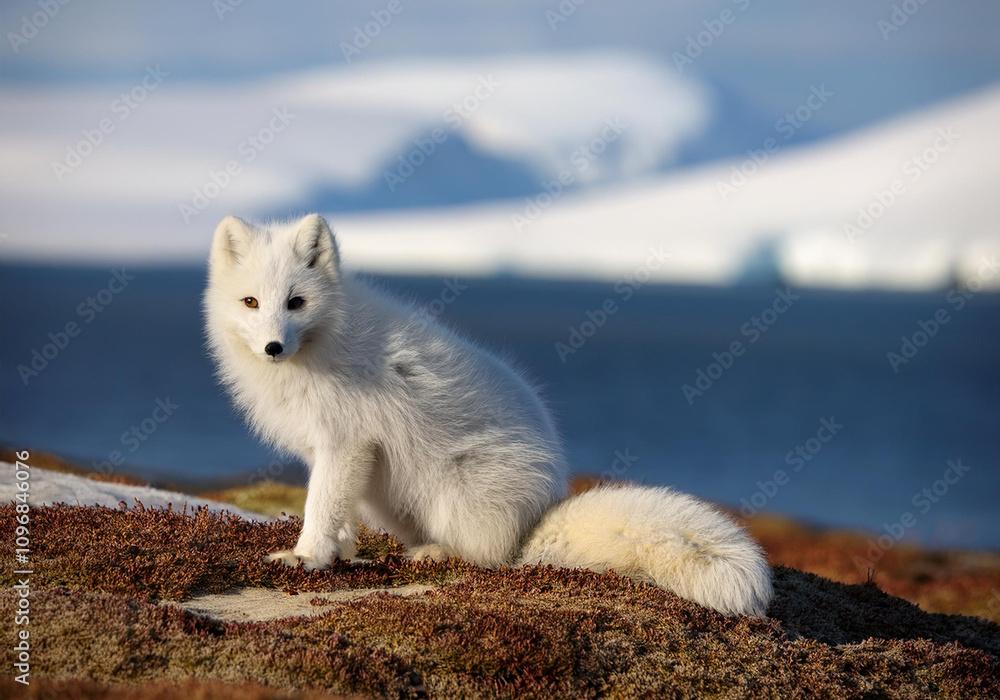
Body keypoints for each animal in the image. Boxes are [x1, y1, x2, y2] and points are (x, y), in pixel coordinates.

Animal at [204, 213, 773, 617]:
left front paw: (306, 557)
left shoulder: (346, 443)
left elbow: (320, 509)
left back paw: (439, 555)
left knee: (492, 559)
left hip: (451, 488)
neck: (321, 348)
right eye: (251, 302)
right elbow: (336, 514)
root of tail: (535, 517)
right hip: (387, 494)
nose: (273, 347)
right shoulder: (332, 451)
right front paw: (339, 554)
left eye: (296, 302)